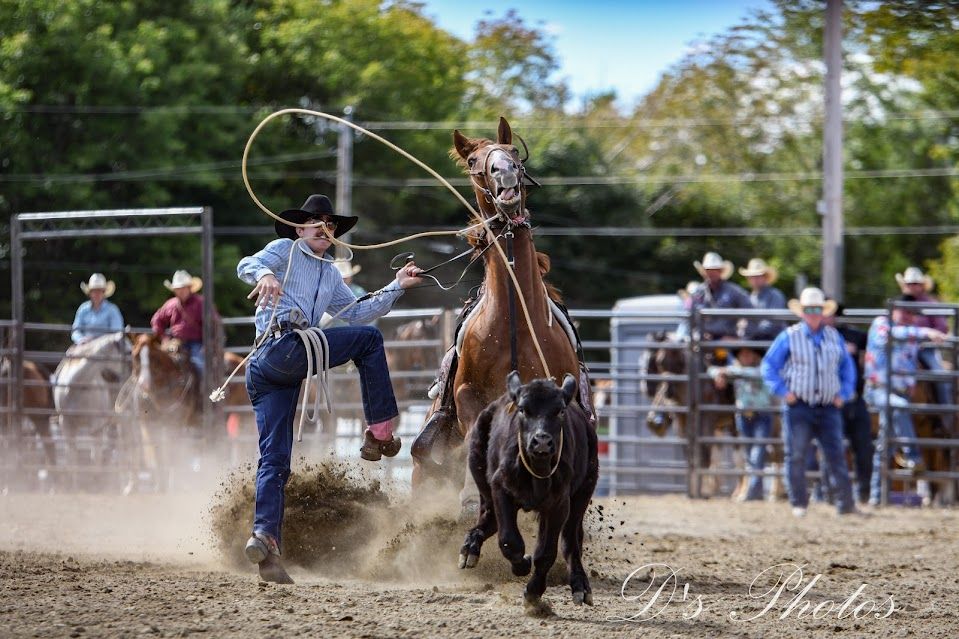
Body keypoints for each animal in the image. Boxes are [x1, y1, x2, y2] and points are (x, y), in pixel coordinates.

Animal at [459, 371, 599, 607]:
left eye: (560, 410)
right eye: (523, 409)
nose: (541, 441)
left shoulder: (559, 504)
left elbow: (546, 553)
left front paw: (533, 591)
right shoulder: (500, 488)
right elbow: (509, 540)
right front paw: (522, 564)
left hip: (583, 492)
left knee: (570, 541)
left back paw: (580, 586)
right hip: (479, 471)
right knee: (489, 516)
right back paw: (469, 550)